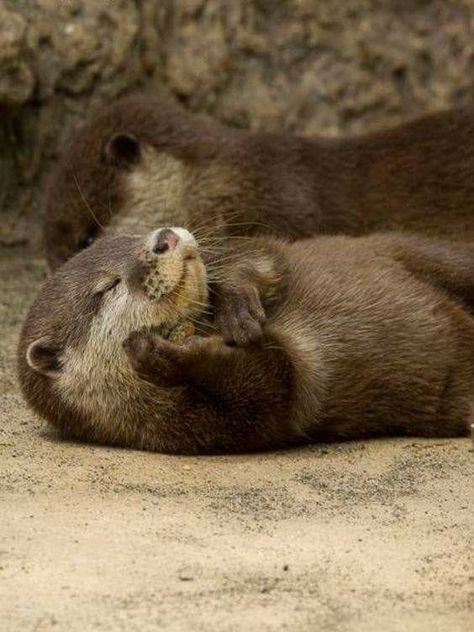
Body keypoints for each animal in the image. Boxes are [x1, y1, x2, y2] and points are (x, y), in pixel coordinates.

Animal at [16, 227, 474, 454]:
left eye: (131, 236)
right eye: (108, 287)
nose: (164, 236)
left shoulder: (271, 251)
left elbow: (258, 254)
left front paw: (236, 308)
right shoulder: (211, 429)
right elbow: (276, 380)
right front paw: (158, 353)